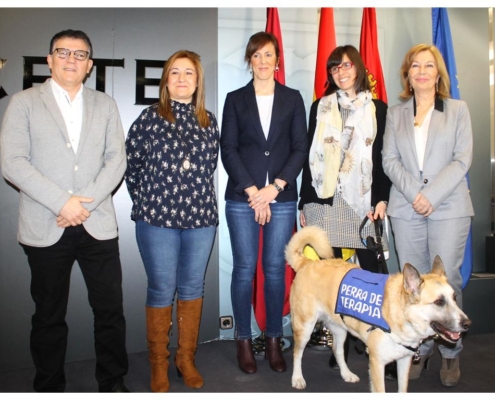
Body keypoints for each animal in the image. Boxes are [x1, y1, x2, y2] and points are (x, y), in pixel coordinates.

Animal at [284, 227, 470, 392]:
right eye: (439, 302)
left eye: (454, 298)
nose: (467, 323)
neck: (399, 316)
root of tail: (308, 263)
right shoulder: (377, 363)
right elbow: (380, 391)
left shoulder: (404, 361)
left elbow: (402, 390)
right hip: (305, 327)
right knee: (297, 353)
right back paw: (297, 378)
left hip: (340, 329)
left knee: (337, 351)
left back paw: (346, 374)